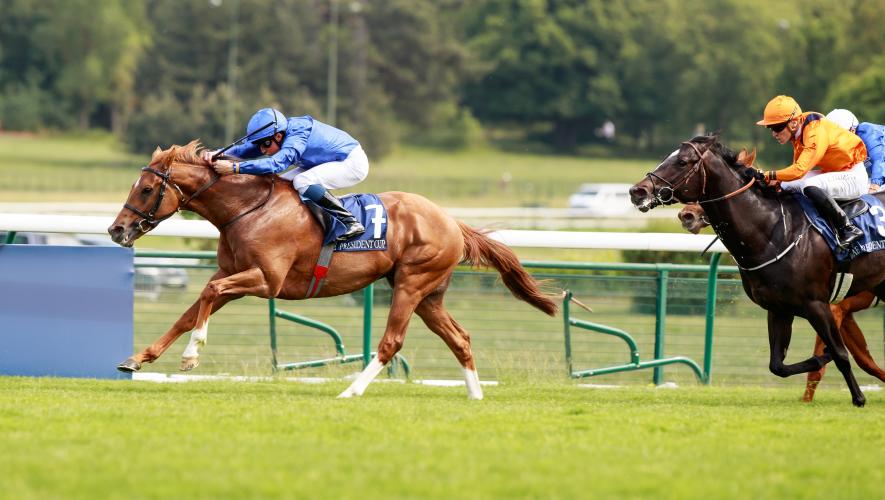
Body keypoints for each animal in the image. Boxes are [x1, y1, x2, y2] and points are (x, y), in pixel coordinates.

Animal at [107, 141, 556, 398]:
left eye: (146, 189)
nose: (116, 230)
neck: (247, 208)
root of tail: (452, 222)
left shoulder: (265, 280)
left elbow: (206, 296)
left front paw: (191, 356)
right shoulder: (231, 274)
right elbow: (191, 310)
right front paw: (138, 358)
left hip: (411, 284)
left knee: (392, 342)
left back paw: (351, 391)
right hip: (429, 295)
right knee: (460, 338)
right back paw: (475, 397)